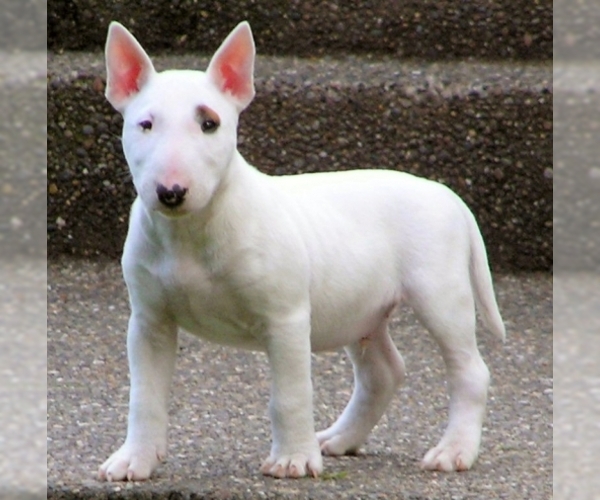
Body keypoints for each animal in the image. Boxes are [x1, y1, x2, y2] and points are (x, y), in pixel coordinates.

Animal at [99, 21, 506, 482]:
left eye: (209, 123)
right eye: (145, 124)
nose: (170, 192)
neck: (192, 230)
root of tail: (446, 193)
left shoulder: (286, 318)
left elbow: (290, 393)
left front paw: (293, 458)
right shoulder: (150, 322)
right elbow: (144, 395)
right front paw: (134, 459)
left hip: (440, 293)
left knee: (469, 371)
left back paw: (454, 450)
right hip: (360, 310)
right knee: (383, 373)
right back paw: (340, 438)